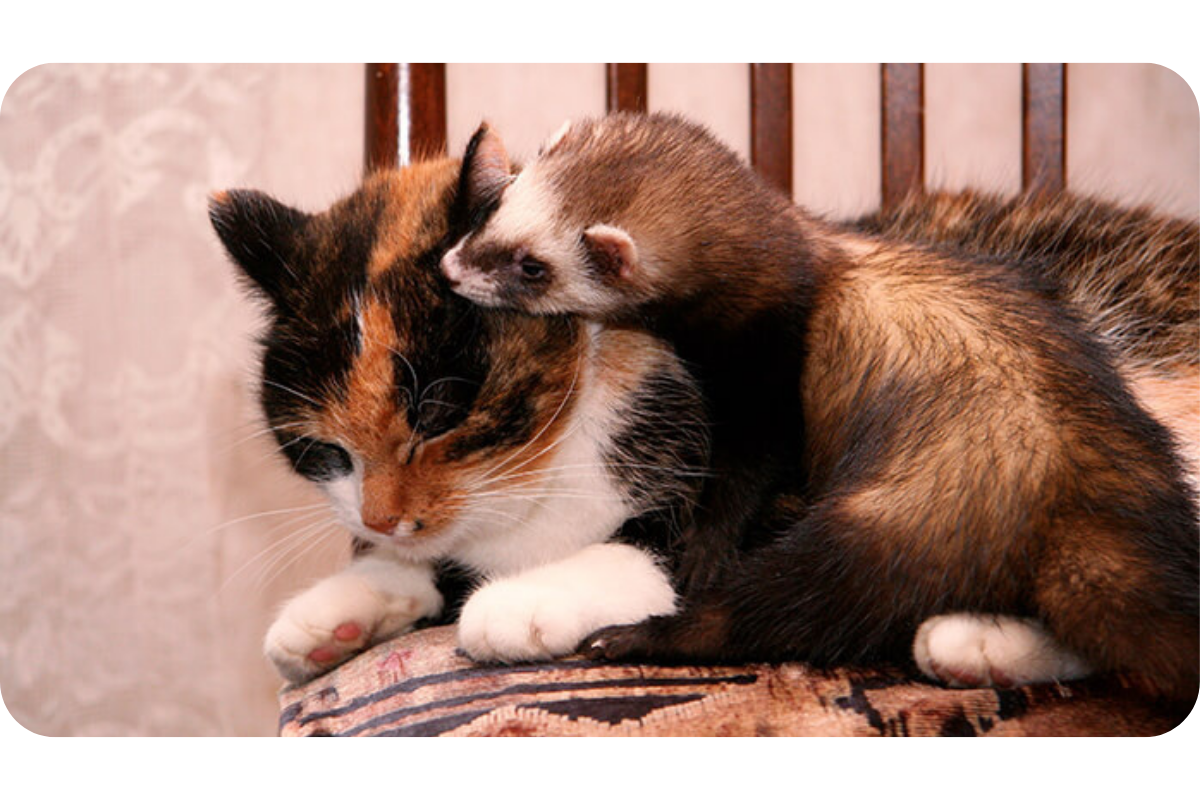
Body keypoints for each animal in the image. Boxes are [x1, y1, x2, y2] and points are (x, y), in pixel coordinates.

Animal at [210, 153, 705, 686]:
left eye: (436, 415)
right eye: (324, 449)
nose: (378, 522)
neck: (539, 476)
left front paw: (526, 600)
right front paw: (339, 608)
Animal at [439, 112, 1200, 700]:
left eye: (532, 266)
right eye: (500, 204)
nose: (451, 266)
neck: (801, 258)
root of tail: (1084, 517)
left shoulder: (769, 376)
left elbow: (745, 475)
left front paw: (702, 550)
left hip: (881, 529)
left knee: (779, 612)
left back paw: (635, 637)